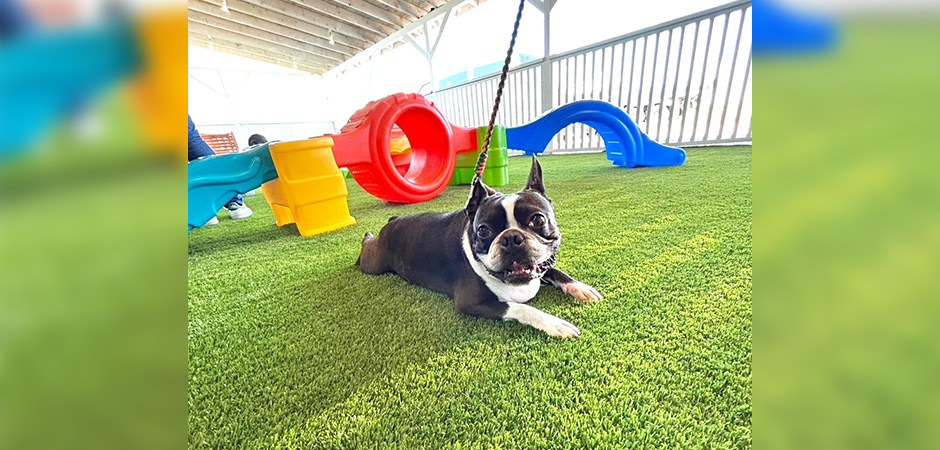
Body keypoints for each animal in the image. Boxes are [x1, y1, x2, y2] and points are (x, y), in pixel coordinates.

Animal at [360, 158, 604, 338]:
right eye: (484, 231)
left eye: (537, 219)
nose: (511, 238)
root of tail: (392, 221)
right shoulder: (472, 302)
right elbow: (521, 307)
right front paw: (554, 322)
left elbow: (554, 269)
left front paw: (578, 286)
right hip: (372, 262)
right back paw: (367, 236)